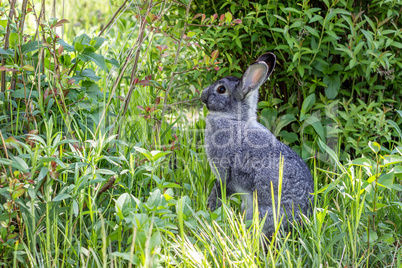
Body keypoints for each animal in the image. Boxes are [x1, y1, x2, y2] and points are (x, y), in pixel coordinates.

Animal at [201, 52, 314, 237]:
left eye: (221, 89)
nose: (203, 95)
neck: (235, 119)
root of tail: (300, 221)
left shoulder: (224, 173)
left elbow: (219, 190)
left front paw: (211, 209)